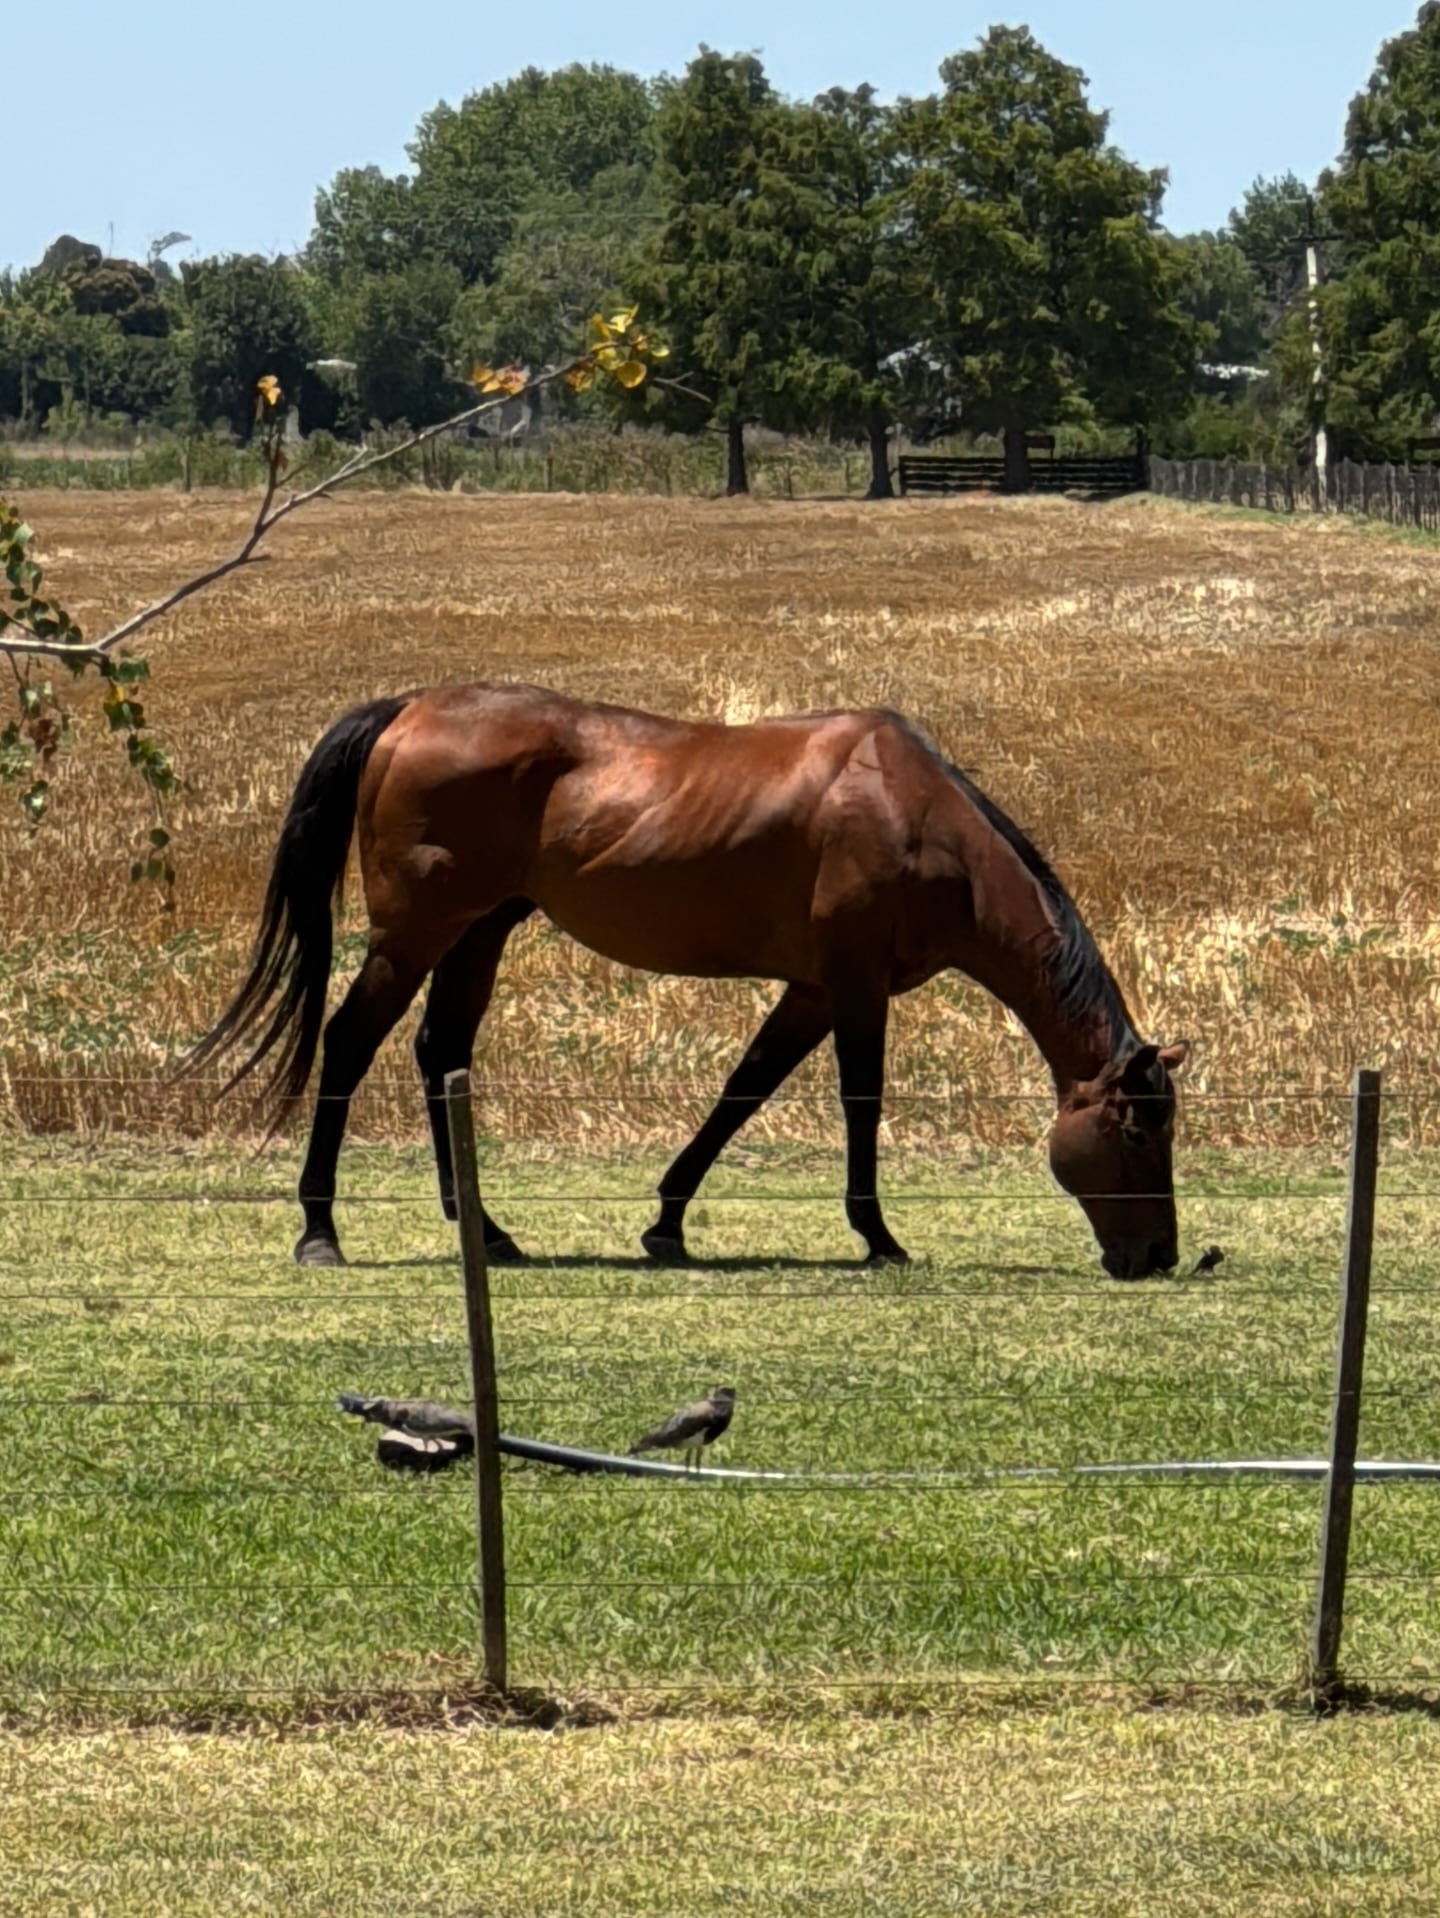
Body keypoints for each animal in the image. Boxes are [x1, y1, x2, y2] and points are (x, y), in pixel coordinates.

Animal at [191, 684, 1189, 1277]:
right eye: (1138, 1132)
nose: (1159, 1254)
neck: (918, 817)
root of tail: (409, 709)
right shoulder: (855, 985)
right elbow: (859, 1104)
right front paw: (878, 1236)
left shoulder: (813, 991)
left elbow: (741, 1092)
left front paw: (667, 1223)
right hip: (415, 936)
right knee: (349, 1044)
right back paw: (320, 1229)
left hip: (480, 932)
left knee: (441, 1052)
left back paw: (487, 1229)